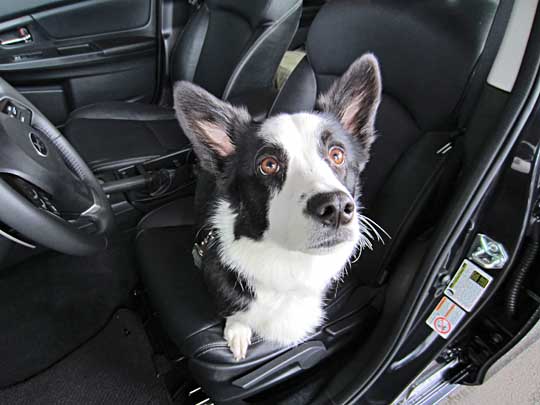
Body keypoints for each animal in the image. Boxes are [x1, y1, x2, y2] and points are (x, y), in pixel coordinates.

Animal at [175, 53, 382, 360]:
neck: (290, 260)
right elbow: (236, 312)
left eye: (337, 155)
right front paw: (238, 331)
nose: (335, 207)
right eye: (268, 164)